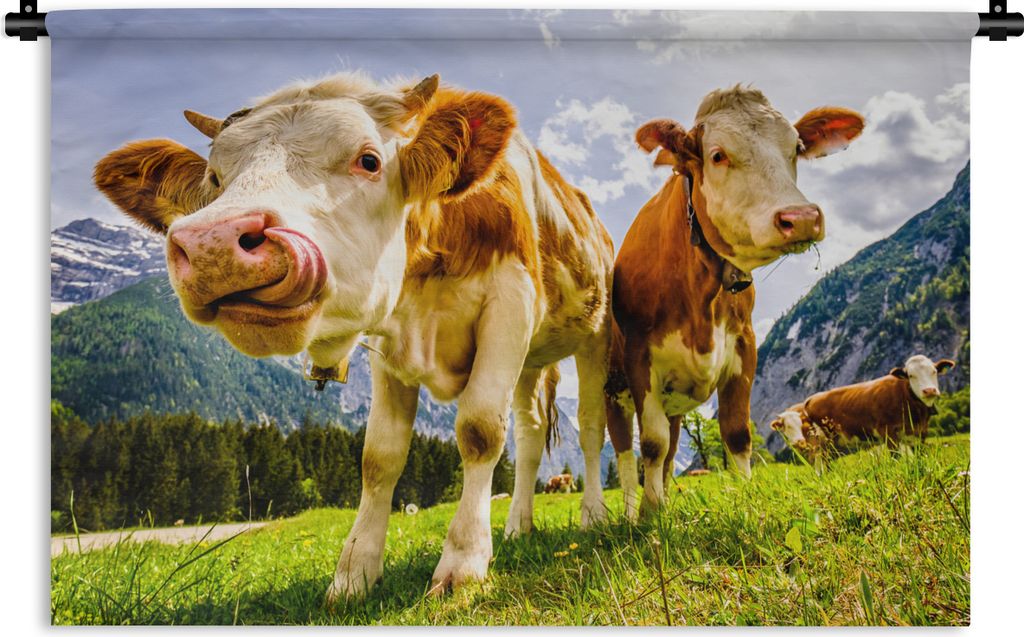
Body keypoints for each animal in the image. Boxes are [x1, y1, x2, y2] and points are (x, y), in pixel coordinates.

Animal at [93, 73, 615, 600]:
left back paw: (594, 514)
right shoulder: (389, 342)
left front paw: (463, 564)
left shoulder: (511, 303)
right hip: (532, 363)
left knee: (591, 425)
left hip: (595, 337)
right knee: (529, 435)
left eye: (369, 160)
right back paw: (518, 526)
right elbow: (379, 457)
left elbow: (480, 430)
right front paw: (354, 573)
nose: (212, 244)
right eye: (214, 180)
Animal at [605, 86, 865, 519]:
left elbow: (737, 434)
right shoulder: (640, 358)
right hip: (612, 391)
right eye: (717, 155)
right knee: (626, 452)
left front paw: (745, 498)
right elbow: (652, 443)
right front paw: (649, 514)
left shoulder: (744, 346)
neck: (699, 292)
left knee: (670, 451)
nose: (801, 217)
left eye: (796, 148)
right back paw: (628, 512)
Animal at [772, 355, 957, 453]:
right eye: (911, 375)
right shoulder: (887, 432)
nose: (929, 390)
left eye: (934, 371)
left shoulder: (919, 434)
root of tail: (811, 398)